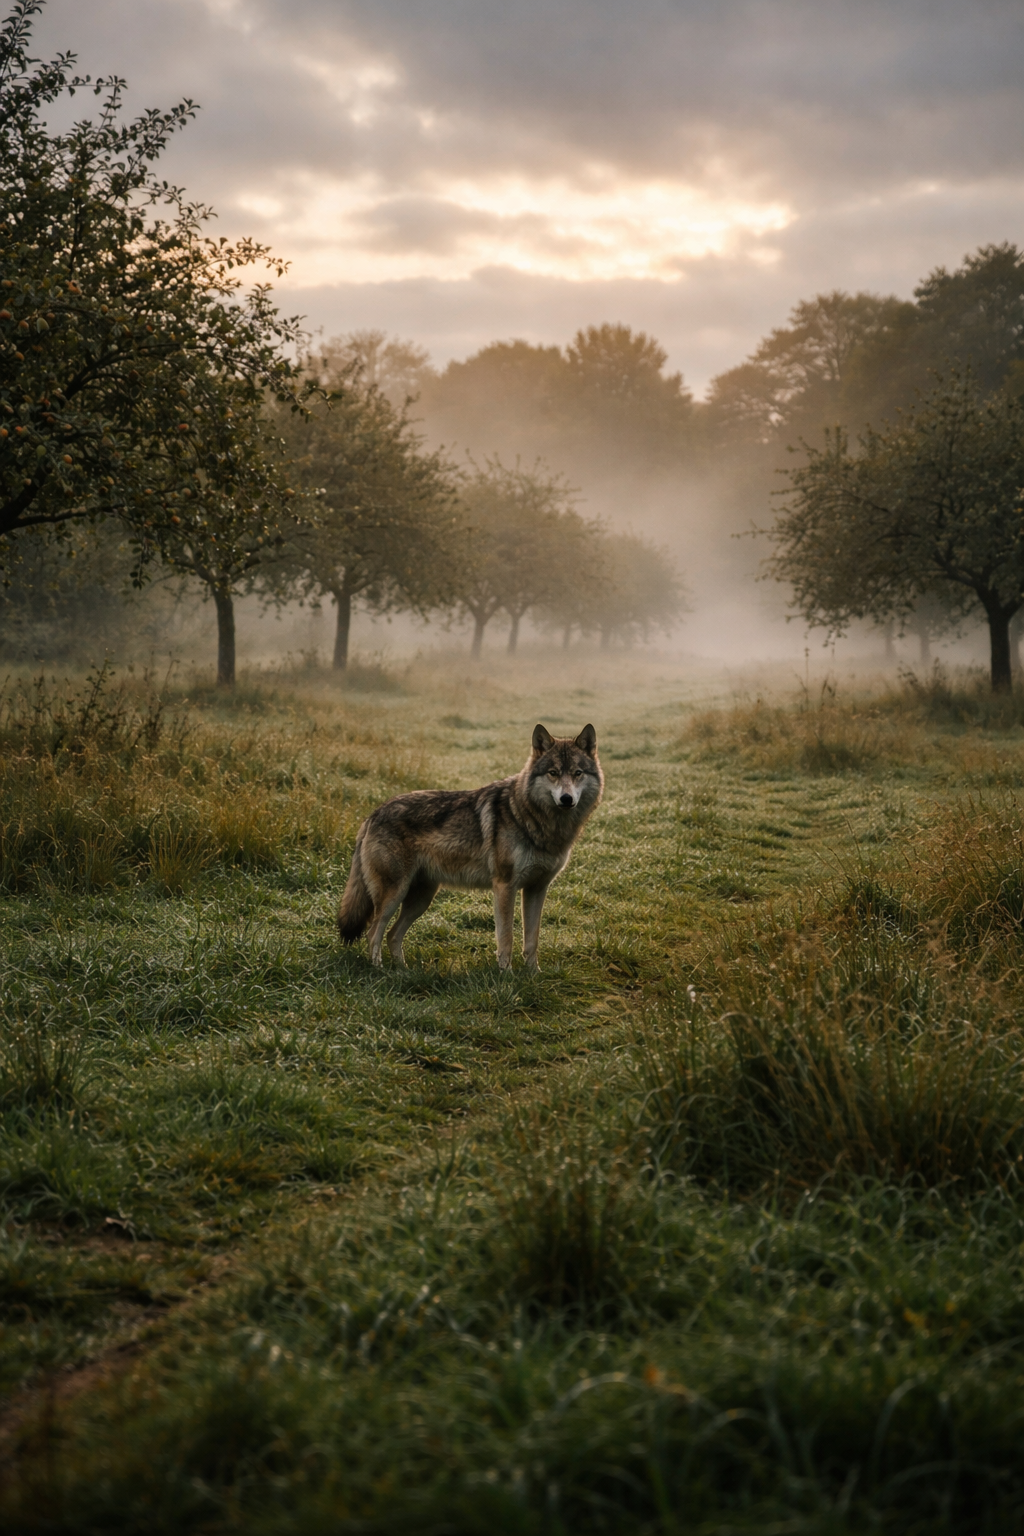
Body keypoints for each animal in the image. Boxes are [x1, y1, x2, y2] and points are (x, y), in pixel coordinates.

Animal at [338, 724, 603, 970]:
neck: (537, 821)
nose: (566, 799)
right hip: (395, 894)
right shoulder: (504, 887)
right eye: (553, 773)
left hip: (421, 900)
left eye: (577, 773)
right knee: (373, 933)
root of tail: (373, 814)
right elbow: (506, 938)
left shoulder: (537, 889)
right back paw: (381, 971)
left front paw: (533, 975)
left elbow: (532, 940)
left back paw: (404, 972)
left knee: (392, 935)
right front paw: (507, 976)